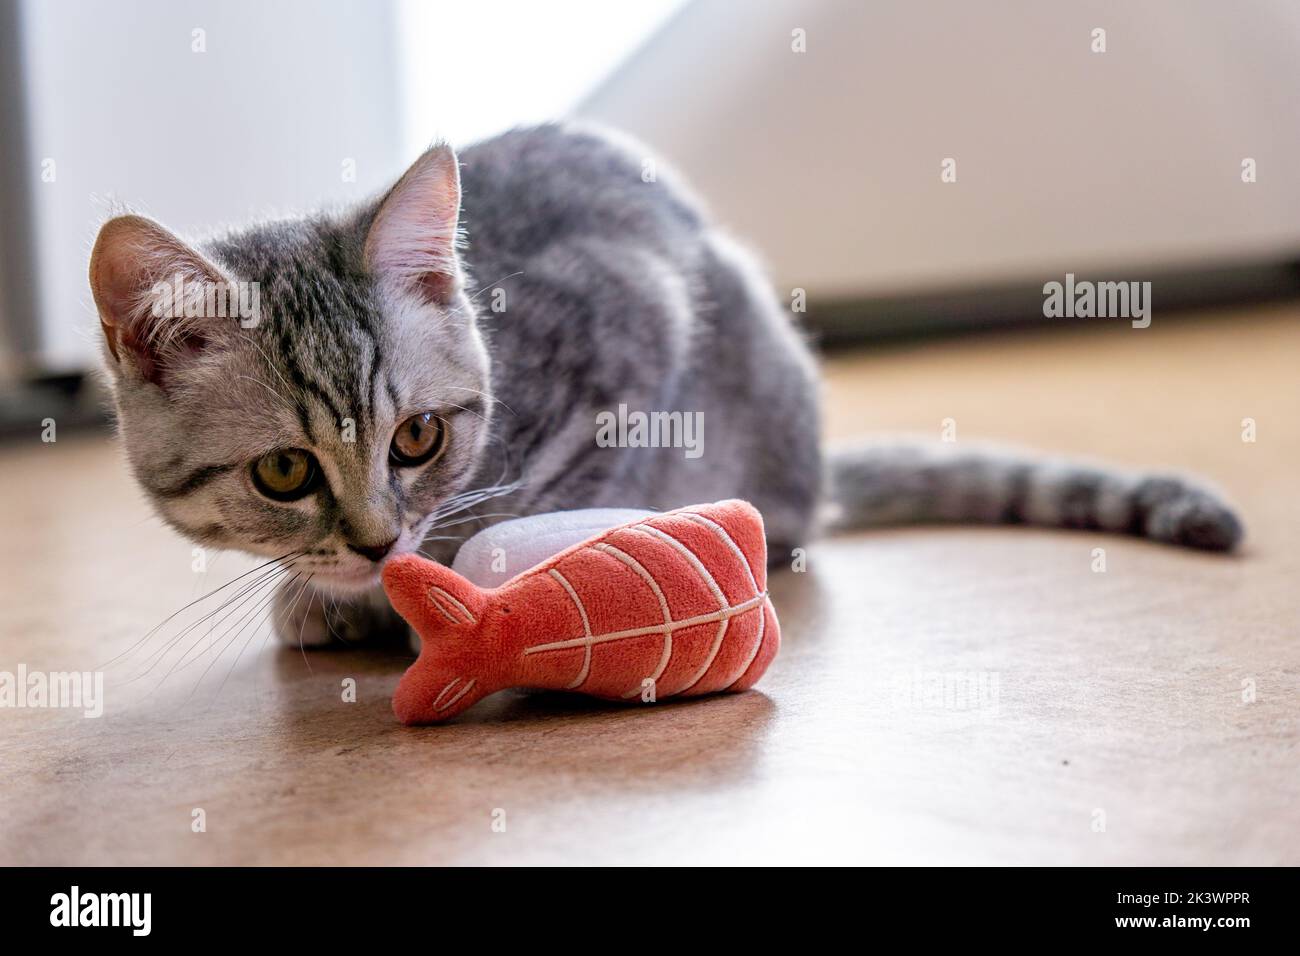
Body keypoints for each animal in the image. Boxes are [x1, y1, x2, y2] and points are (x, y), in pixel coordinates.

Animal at [86, 123, 1242, 647]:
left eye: (418, 438)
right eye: (284, 471)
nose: (378, 544)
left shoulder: (636, 329)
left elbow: (546, 506)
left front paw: (448, 586)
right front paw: (337, 594)